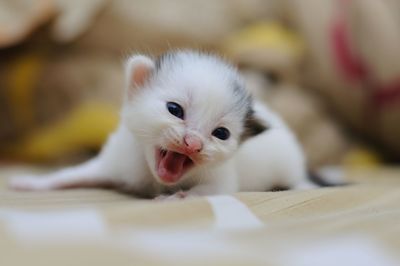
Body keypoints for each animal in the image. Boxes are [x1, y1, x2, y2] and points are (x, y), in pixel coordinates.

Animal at [9, 51, 316, 198]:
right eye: (174, 109)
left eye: (221, 133)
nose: (193, 143)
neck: (153, 178)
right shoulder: (117, 161)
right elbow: (71, 174)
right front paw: (31, 183)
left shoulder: (223, 179)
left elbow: (211, 192)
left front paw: (174, 198)